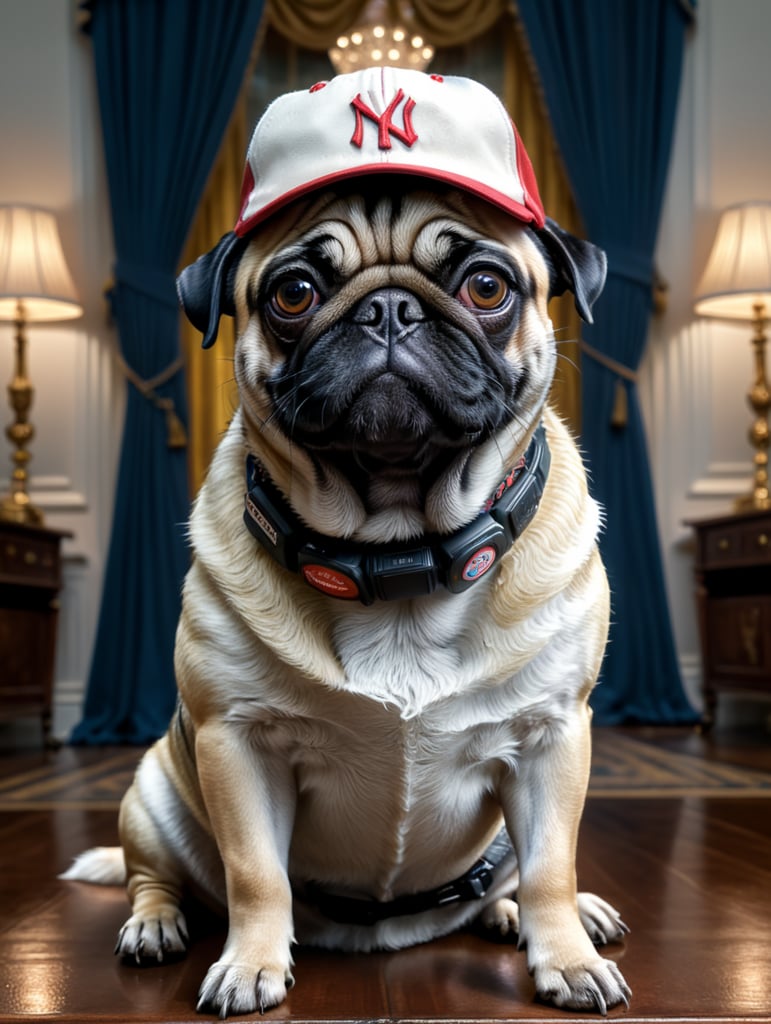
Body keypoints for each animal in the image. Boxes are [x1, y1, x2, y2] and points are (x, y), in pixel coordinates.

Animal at [63, 70, 626, 1015]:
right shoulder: (236, 743)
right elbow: (255, 875)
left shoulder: (553, 736)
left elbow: (551, 862)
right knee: (157, 874)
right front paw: (250, 963)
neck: (396, 554)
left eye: (486, 286)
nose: (387, 309)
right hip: (154, 794)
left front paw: (566, 956)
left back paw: (534, 912)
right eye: (292, 294)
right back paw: (155, 926)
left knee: (516, 875)